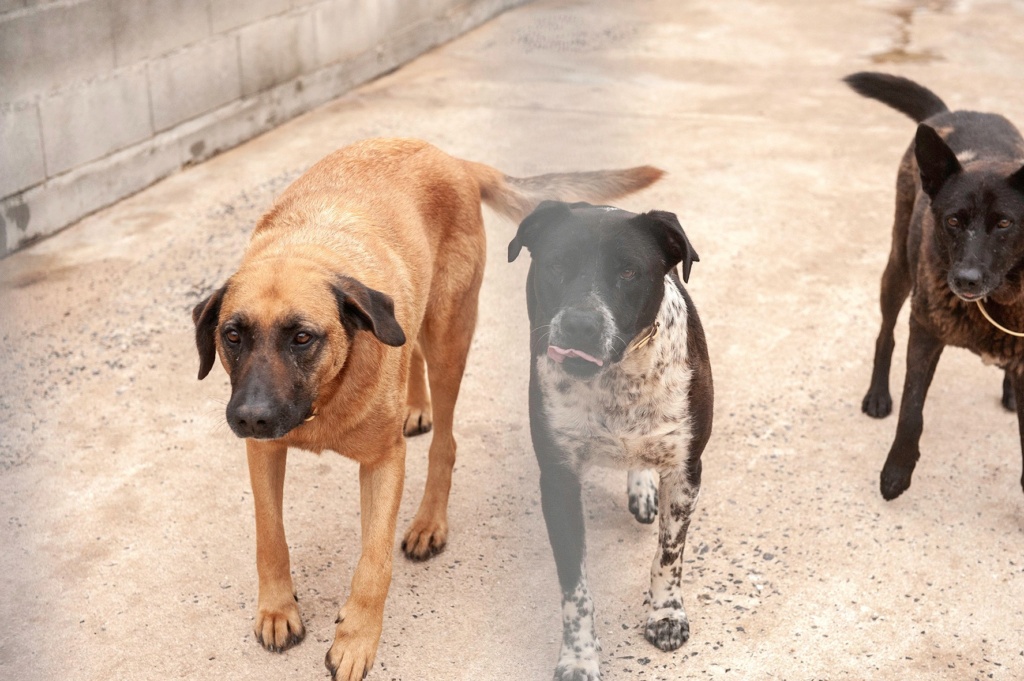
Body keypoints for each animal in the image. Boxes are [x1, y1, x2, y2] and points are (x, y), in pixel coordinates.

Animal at [192, 135, 663, 675]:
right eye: (232, 336)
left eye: (302, 337)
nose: (251, 416)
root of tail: (452, 160)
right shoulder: (263, 451)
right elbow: (269, 535)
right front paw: (276, 609)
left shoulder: (384, 461)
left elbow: (373, 561)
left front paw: (356, 639)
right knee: (409, 346)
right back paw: (413, 406)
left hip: (449, 338)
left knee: (445, 441)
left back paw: (429, 520)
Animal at [503, 201, 712, 679]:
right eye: (557, 265)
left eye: (630, 272)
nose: (580, 324)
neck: (618, 379)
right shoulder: (558, 482)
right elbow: (575, 589)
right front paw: (579, 656)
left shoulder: (686, 470)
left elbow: (669, 553)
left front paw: (665, 614)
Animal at [843, 73, 1024, 499]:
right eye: (953, 221)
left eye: (1005, 223)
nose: (965, 280)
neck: (993, 304)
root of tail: (950, 112)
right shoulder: (925, 334)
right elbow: (912, 413)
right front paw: (897, 471)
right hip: (897, 271)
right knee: (885, 335)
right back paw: (878, 395)